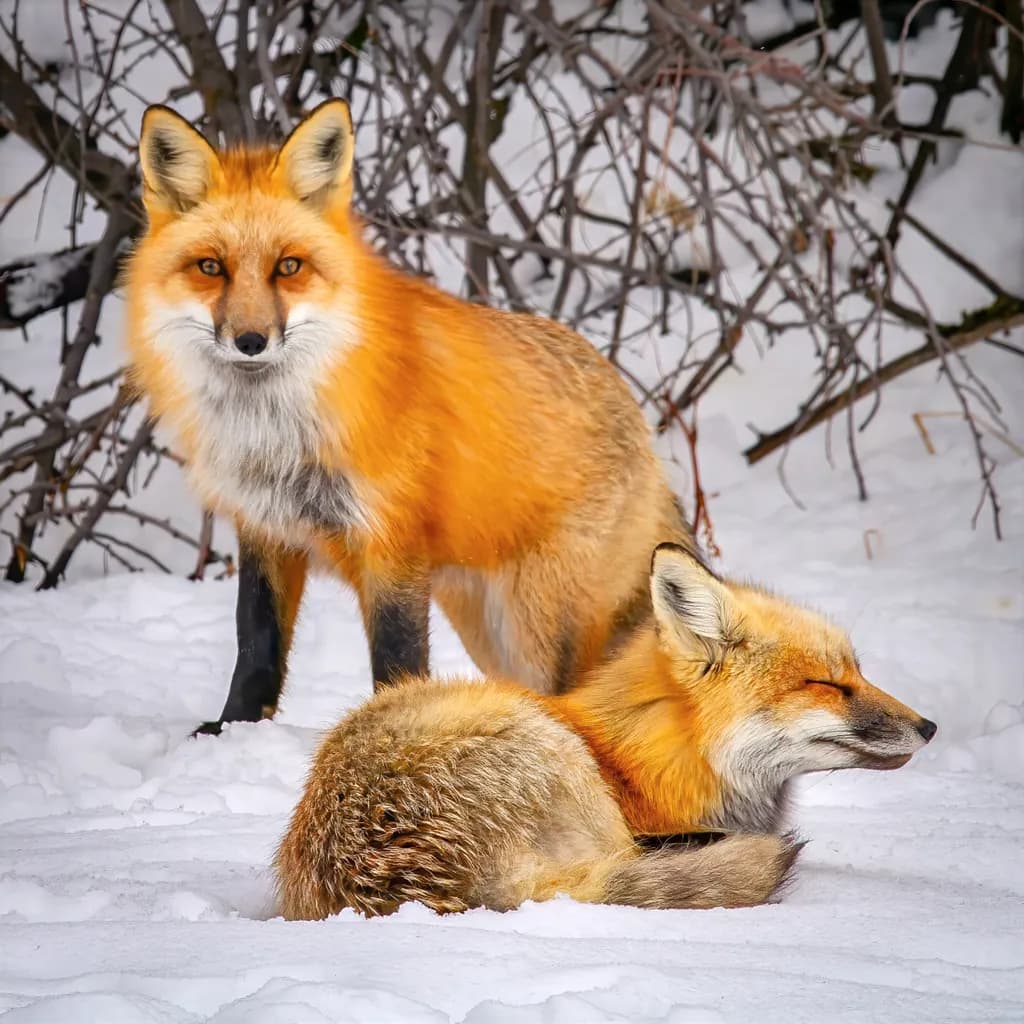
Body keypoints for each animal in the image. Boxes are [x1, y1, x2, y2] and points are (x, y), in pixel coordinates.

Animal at [124, 100, 691, 733]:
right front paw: (232, 730)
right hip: (486, 627)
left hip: (540, 620)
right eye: (210, 267)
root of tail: (638, 417)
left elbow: (397, 660)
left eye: (289, 267)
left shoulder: (391, 544)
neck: (279, 428)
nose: (251, 341)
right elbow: (255, 643)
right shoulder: (266, 528)